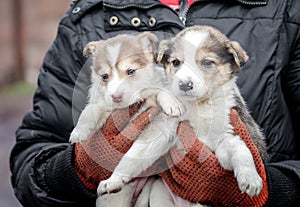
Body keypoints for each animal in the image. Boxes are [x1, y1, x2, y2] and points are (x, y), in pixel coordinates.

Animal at [69, 32, 183, 207]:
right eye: (104, 77)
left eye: (130, 71)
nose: (116, 97)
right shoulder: (104, 104)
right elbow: (89, 111)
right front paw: (78, 132)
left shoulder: (158, 120)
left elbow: (132, 156)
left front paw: (172, 102)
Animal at [98, 25, 268, 206]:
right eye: (176, 62)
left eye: (207, 62)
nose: (185, 84)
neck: (199, 106)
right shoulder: (165, 125)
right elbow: (135, 154)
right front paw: (113, 180)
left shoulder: (224, 133)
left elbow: (240, 148)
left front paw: (251, 178)